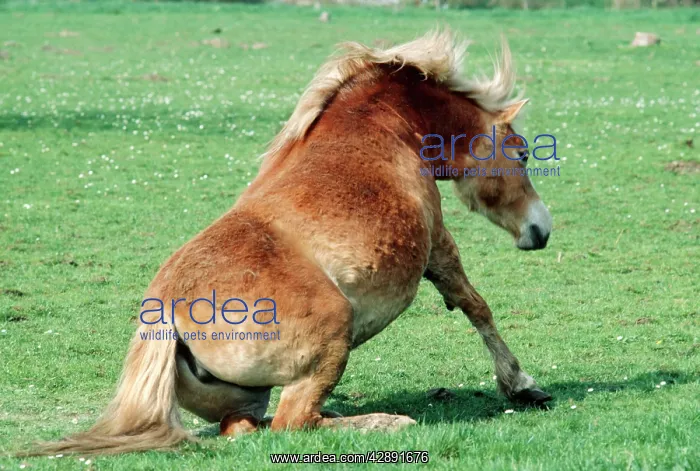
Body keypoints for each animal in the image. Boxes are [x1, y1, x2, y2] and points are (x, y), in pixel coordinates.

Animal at [29, 29, 553, 456]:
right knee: (292, 423)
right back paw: (386, 422)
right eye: (522, 152)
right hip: (333, 336)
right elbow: (474, 305)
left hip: (249, 397)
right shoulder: (438, 245)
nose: (540, 230)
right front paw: (520, 384)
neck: (384, 124)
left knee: (246, 428)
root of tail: (168, 311)